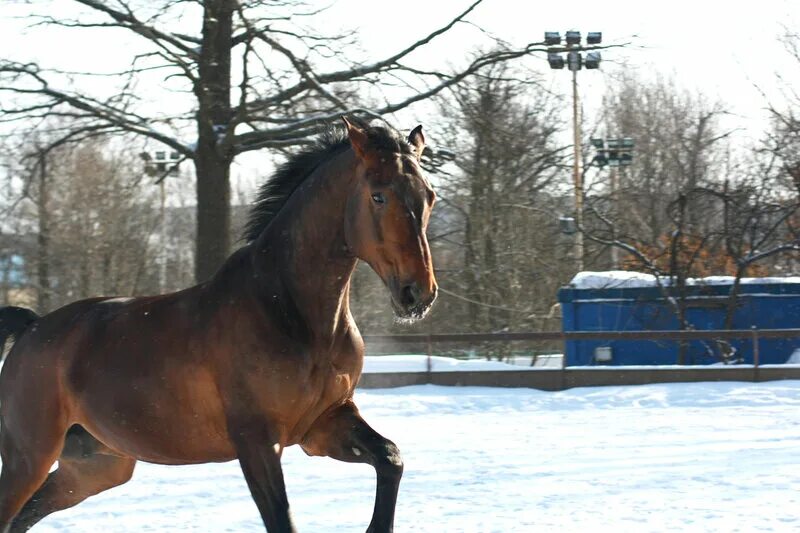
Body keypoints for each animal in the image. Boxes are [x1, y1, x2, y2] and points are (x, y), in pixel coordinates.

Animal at [0, 117, 438, 532]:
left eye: (430, 195)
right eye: (378, 195)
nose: (418, 293)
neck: (296, 316)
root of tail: (31, 329)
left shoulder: (324, 424)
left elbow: (390, 458)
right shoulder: (257, 442)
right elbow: (282, 519)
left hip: (95, 466)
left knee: (25, 517)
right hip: (29, 456)